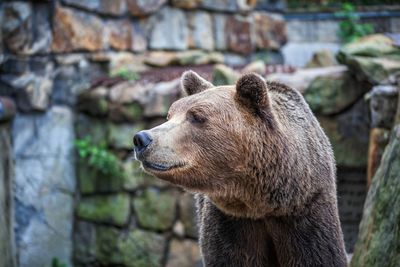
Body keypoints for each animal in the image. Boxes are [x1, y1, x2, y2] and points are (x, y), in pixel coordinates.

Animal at [134, 70, 346, 266]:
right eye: (169, 115)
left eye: (196, 116)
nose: (141, 138)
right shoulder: (231, 224)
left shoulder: (307, 211)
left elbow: (318, 254)